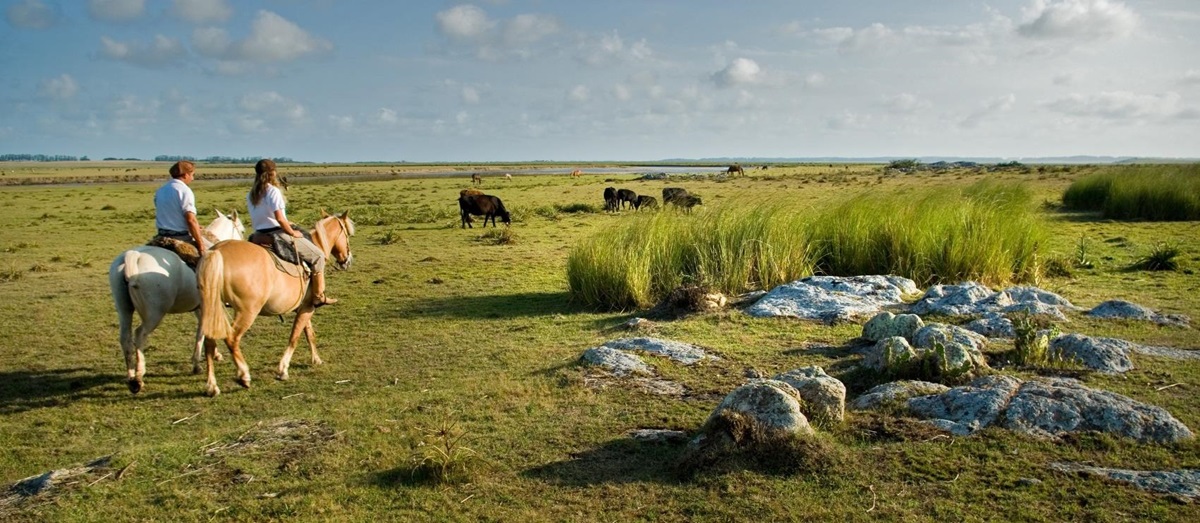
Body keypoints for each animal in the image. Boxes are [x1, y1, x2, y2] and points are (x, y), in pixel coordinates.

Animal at [108, 210, 245, 394]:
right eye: (242, 230)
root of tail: (133, 257)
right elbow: (205, 331)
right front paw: (197, 364)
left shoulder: (200, 307)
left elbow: (203, 329)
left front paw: (211, 356)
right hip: (154, 314)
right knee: (139, 335)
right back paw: (138, 378)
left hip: (124, 309)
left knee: (125, 338)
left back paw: (130, 377)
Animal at [198, 211, 355, 397]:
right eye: (347, 235)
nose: (348, 260)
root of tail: (217, 252)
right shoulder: (308, 307)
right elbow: (295, 337)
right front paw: (283, 369)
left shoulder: (304, 308)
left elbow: (309, 333)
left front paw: (316, 359)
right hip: (247, 312)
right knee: (231, 338)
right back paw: (244, 376)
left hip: (214, 308)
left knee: (209, 341)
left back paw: (212, 386)